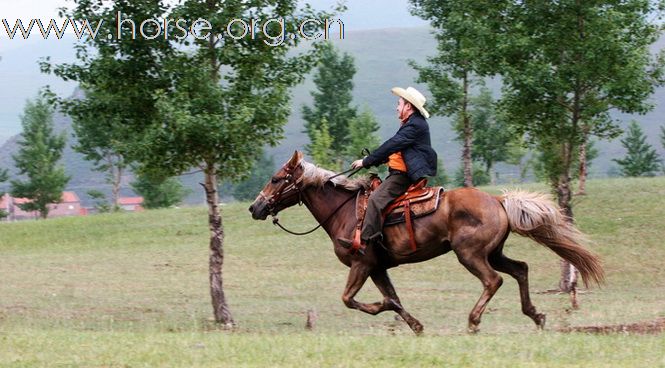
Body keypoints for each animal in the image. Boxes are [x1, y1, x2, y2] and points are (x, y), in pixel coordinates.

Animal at [248, 151, 600, 334]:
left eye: (277, 179)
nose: (255, 207)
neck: (345, 211)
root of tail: (499, 201)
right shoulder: (378, 268)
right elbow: (393, 298)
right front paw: (415, 326)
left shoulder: (361, 264)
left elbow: (351, 299)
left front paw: (381, 310)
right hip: (494, 252)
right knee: (520, 270)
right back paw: (536, 316)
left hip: (470, 254)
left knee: (493, 280)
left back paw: (473, 322)